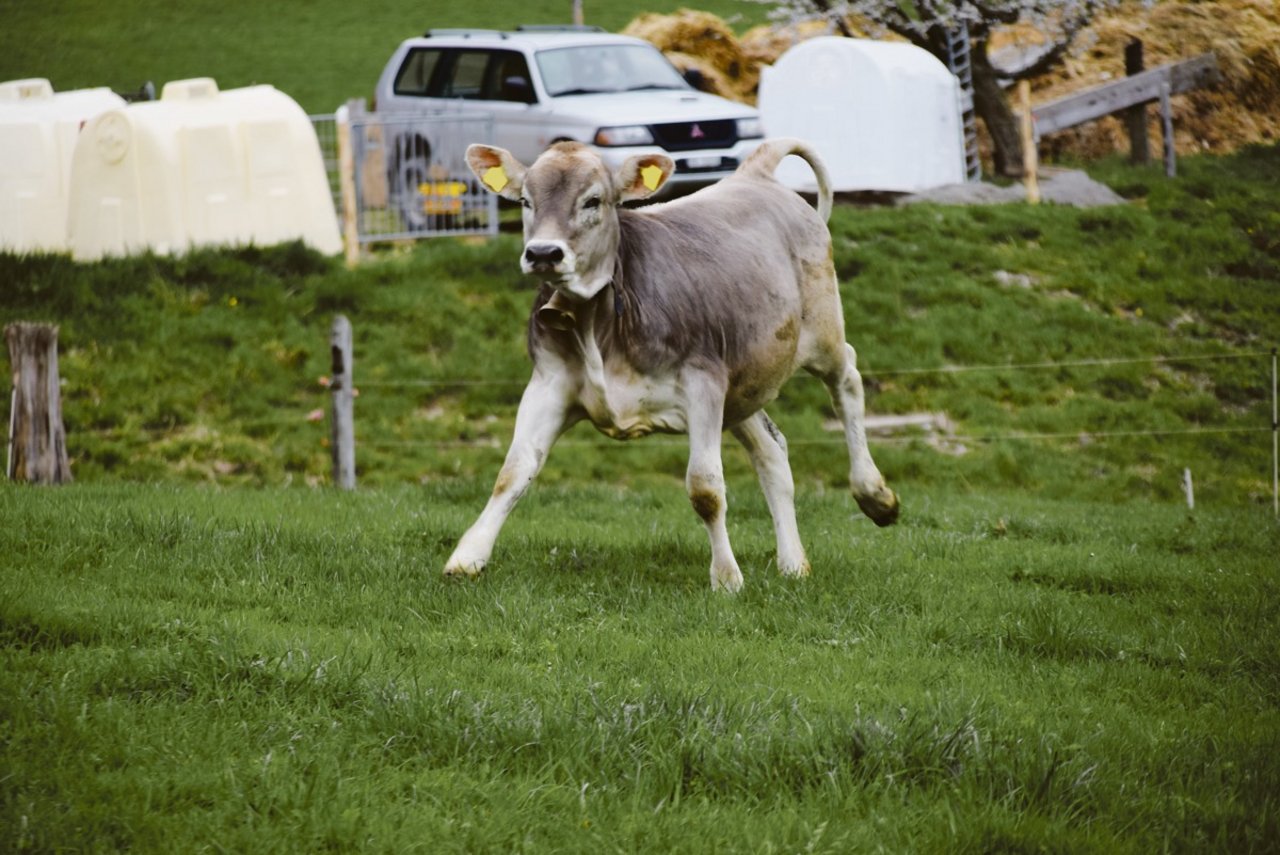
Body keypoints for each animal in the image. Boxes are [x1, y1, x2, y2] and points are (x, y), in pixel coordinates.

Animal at [445, 138, 896, 593]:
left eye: (593, 200)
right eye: (525, 200)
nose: (542, 253)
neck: (598, 323)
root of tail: (755, 171)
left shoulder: (703, 383)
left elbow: (705, 488)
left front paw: (726, 578)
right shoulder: (549, 384)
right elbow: (513, 472)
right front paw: (469, 555)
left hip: (821, 335)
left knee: (848, 380)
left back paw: (874, 495)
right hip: (740, 387)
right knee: (771, 450)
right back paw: (792, 562)